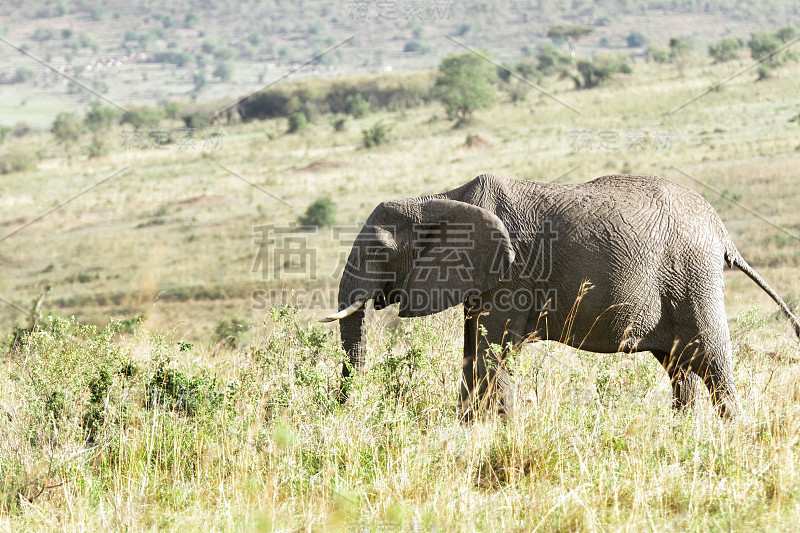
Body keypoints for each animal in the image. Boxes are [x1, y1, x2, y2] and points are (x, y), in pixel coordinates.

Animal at [320, 175, 800, 420]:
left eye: (380, 250)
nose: (342, 412)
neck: (440, 198)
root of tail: (723, 232)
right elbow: (473, 349)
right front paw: (469, 430)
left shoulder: (510, 275)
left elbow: (490, 351)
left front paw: (497, 432)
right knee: (680, 367)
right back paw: (681, 434)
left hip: (693, 277)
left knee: (712, 361)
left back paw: (730, 435)